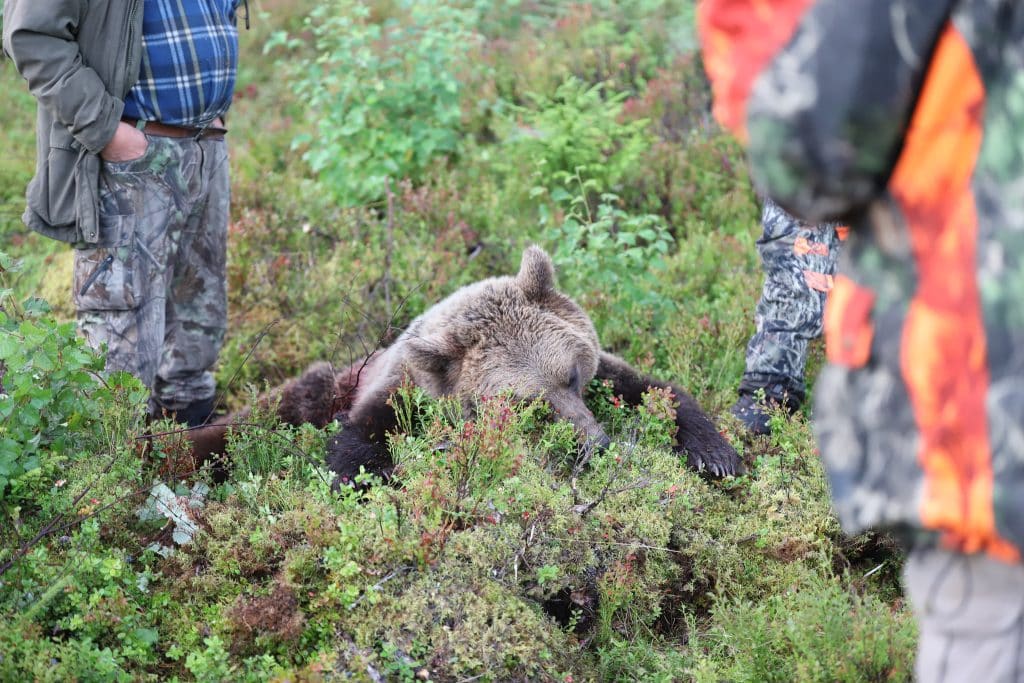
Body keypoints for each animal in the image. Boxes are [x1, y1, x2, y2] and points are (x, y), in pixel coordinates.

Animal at [188, 248, 741, 483]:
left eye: (572, 375)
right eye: (525, 403)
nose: (595, 444)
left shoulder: (604, 371)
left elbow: (654, 390)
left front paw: (716, 455)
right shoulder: (394, 400)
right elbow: (355, 455)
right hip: (311, 394)